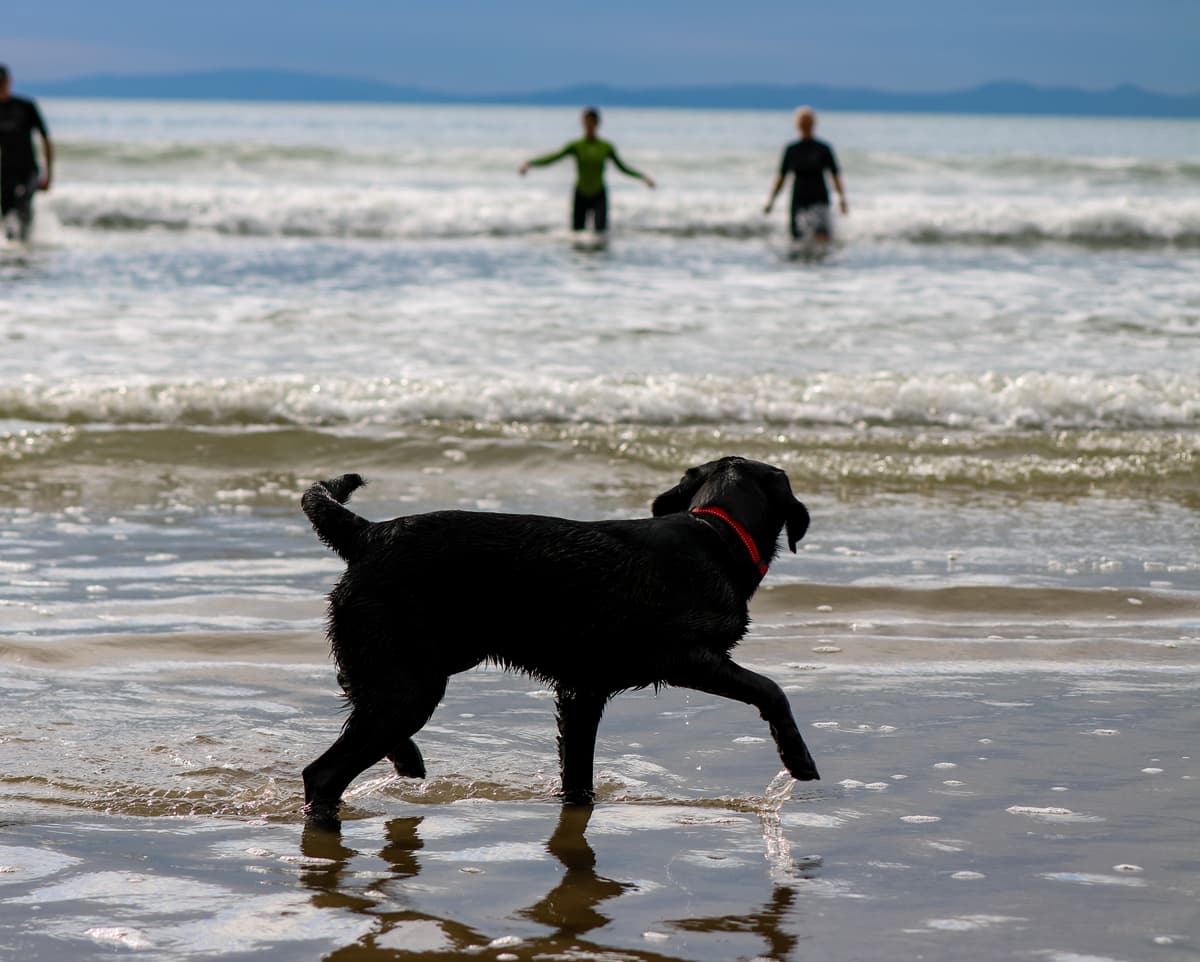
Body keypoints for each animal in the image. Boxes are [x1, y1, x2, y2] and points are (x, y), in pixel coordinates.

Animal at [304, 453, 820, 820]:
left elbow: (577, 776)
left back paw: (406, 761)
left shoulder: (581, 692)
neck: (716, 533)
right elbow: (770, 690)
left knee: (356, 702)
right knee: (323, 773)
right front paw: (799, 759)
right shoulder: (686, 656)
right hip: (411, 684)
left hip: (411, 662)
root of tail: (368, 534)